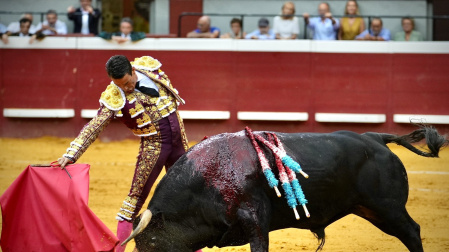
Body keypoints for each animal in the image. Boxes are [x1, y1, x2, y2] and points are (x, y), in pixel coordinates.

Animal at [121, 125, 444, 251]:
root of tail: (375, 138)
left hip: (388, 207)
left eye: (151, 242)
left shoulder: (254, 220)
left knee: (412, 231)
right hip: (370, 209)